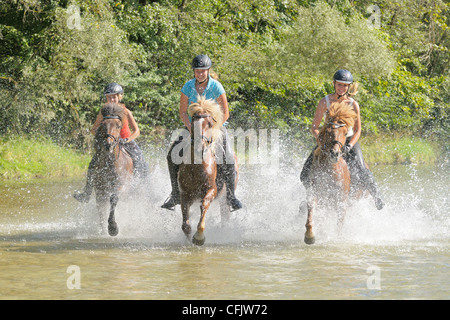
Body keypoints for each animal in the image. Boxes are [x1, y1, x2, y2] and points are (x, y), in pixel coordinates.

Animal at [91, 104, 133, 236]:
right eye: (103, 124)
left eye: (119, 125)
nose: (108, 145)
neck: (110, 163)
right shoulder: (100, 188)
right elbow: (101, 207)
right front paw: (103, 229)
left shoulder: (121, 185)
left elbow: (113, 199)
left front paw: (113, 228)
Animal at [178, 96, 237, 246]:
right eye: (193, 121)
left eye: (210, 124)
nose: (200, 146)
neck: (196, 166)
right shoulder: (184, 194)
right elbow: (185, 225)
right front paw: (189, 240)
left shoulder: (212, 189)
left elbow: (204, 206)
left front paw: (199, 238)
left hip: (225, 198)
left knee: (225, 216)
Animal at [304, 101, 356, 244]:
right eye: (328, 131)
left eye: (345, 132)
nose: (334, 153)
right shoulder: (315, 193)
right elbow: (311, 210)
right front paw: (309, 236)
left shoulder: (341, 200)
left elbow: (339, 223)